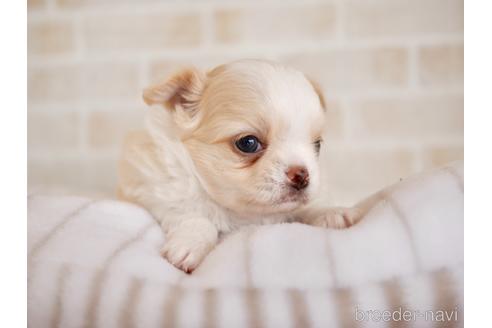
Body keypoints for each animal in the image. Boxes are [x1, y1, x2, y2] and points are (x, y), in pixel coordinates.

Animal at [118, 59, 362, 274]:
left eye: (317, 145)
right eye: (248, 143)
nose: (302, 175)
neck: (243, 214)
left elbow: (307, 206)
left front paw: (331, 212)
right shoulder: (159, 192)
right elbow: (195, 215)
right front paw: (189, 243)